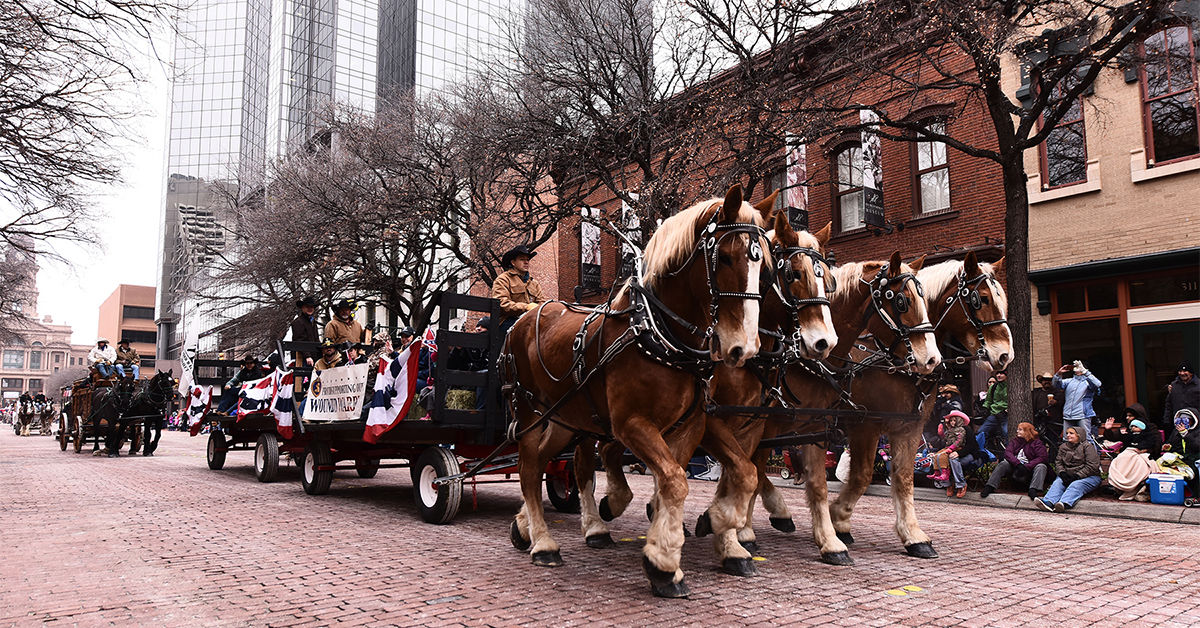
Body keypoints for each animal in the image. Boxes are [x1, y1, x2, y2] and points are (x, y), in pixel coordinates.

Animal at [501, 184, 772, 597]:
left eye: (764, 268)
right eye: (724, 257)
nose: (743, 347)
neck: (662, 335)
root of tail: (525, 316)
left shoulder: (690, 426)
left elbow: (707, 478)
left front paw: (686, 544)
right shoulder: (633, 424)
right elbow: (676, 481)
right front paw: (663, 562)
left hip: (564, 417)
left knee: (551, 460)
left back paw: (527, 528)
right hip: (530, 411)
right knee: (530, 469)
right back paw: (544, 543)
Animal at [573, 214, 840, 573]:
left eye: (828, 279)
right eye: (792, 274)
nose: (824, 342)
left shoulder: (755, 425)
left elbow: (744, 475)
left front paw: (728, 535)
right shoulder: (714, 422)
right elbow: (742, 473)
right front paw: (725, 531)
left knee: (612, 452)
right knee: (585, 461)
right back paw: (596, 524)